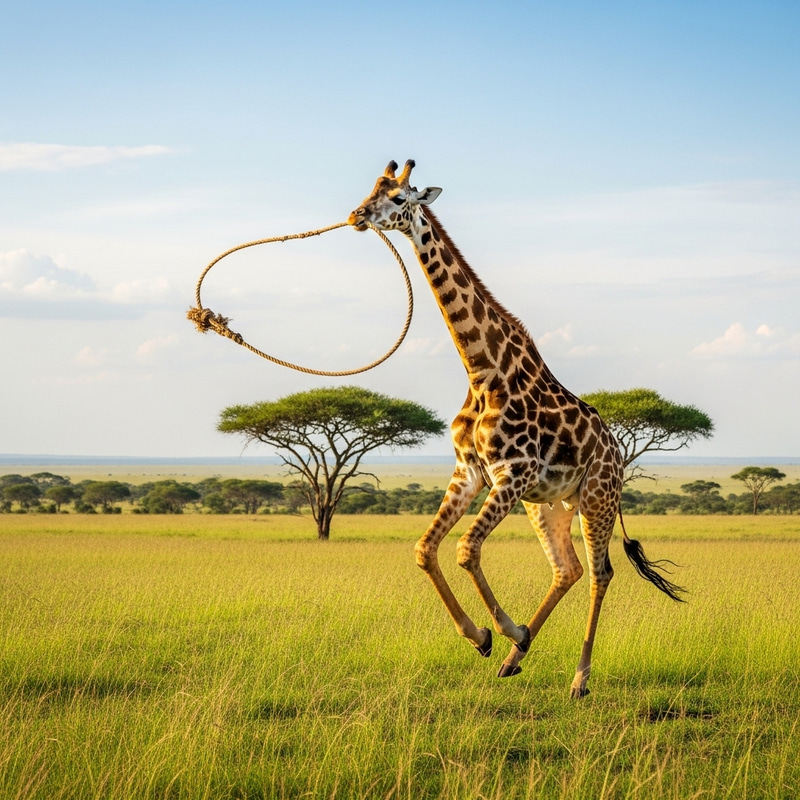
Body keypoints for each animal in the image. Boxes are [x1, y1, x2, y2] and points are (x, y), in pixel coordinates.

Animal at [348, 160, 684, 698]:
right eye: (370, 190)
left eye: (399, 199)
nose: (357, 215)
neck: (482, 370)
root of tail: (616, 450)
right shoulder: (471, 472)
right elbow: (426, 548)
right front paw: (487, 637)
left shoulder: (512, 474)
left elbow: (465, 549)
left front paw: (500, 630)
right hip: (548, 505)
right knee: (567, 568)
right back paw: (515, 656)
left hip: (596, 497)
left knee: (600, 572)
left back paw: (579, 678)